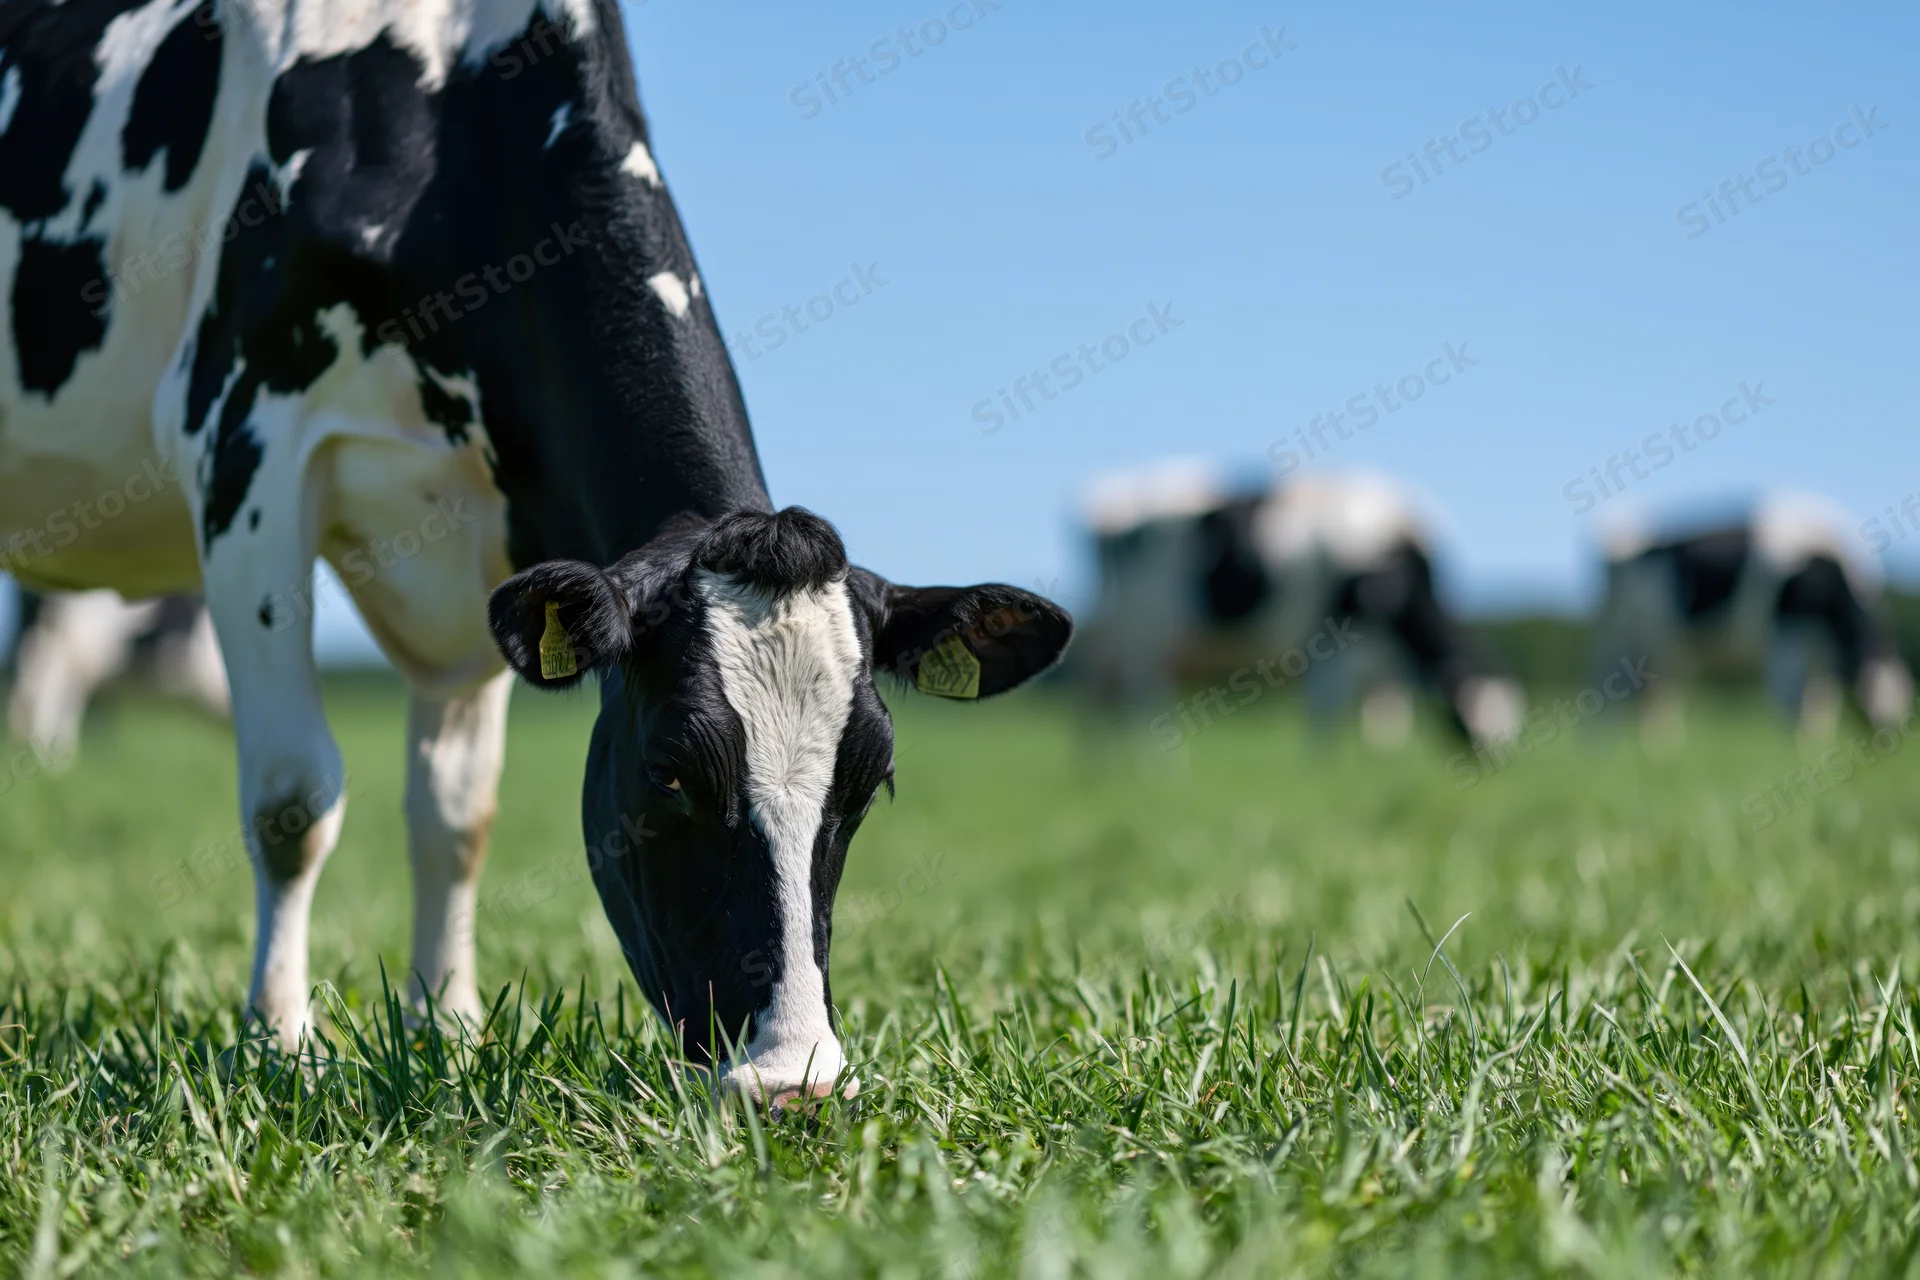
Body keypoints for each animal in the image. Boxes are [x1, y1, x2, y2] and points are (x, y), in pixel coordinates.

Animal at [1079, 464, 1522, 749]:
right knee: (1142, 692)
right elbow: (1325, 707)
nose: (1492, 764)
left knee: (1099, 691)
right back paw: (1158, 767)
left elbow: (1386, 708)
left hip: (1116, 632)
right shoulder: (1331, 631)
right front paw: (1321, 772)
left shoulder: (1378, 653)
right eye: (1469, 717)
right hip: (1144, 629)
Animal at [1594, 495, 1911, 739]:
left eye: (1904, 695)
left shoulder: (1824, 653)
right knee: (1609, 686)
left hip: (1670, 652)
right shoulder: (1785, 638)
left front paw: (1817, 742)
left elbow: (1822, 702)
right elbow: (1793, 701)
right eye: (1868, 686)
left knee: (1659, 696)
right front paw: (1798, 750)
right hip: (1617, 633)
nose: (1886, 734)